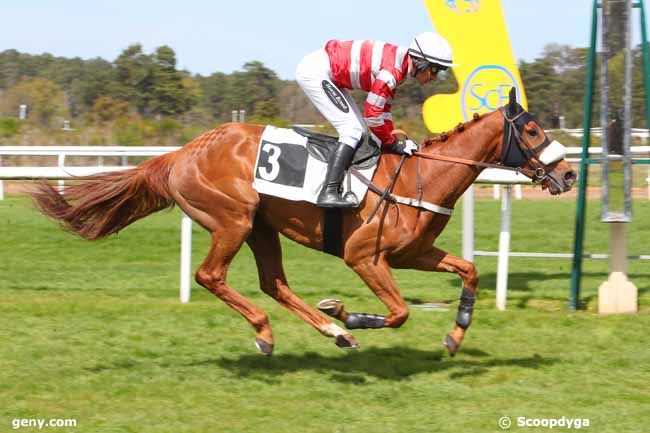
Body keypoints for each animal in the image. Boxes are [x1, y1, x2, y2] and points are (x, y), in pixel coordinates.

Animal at [33, 90, 576, 354]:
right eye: (531, 130)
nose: (569, 174)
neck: (421, 177)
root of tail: (182, 153)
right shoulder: (364, 257)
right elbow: (400, 312)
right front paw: (348, 312)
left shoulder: (414, 254)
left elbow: (470, 271)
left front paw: (455, 335)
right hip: (232, 220)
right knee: (211, 276)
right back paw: (273, 333)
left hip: (261, 228)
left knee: (274, 283)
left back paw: (331, 332)